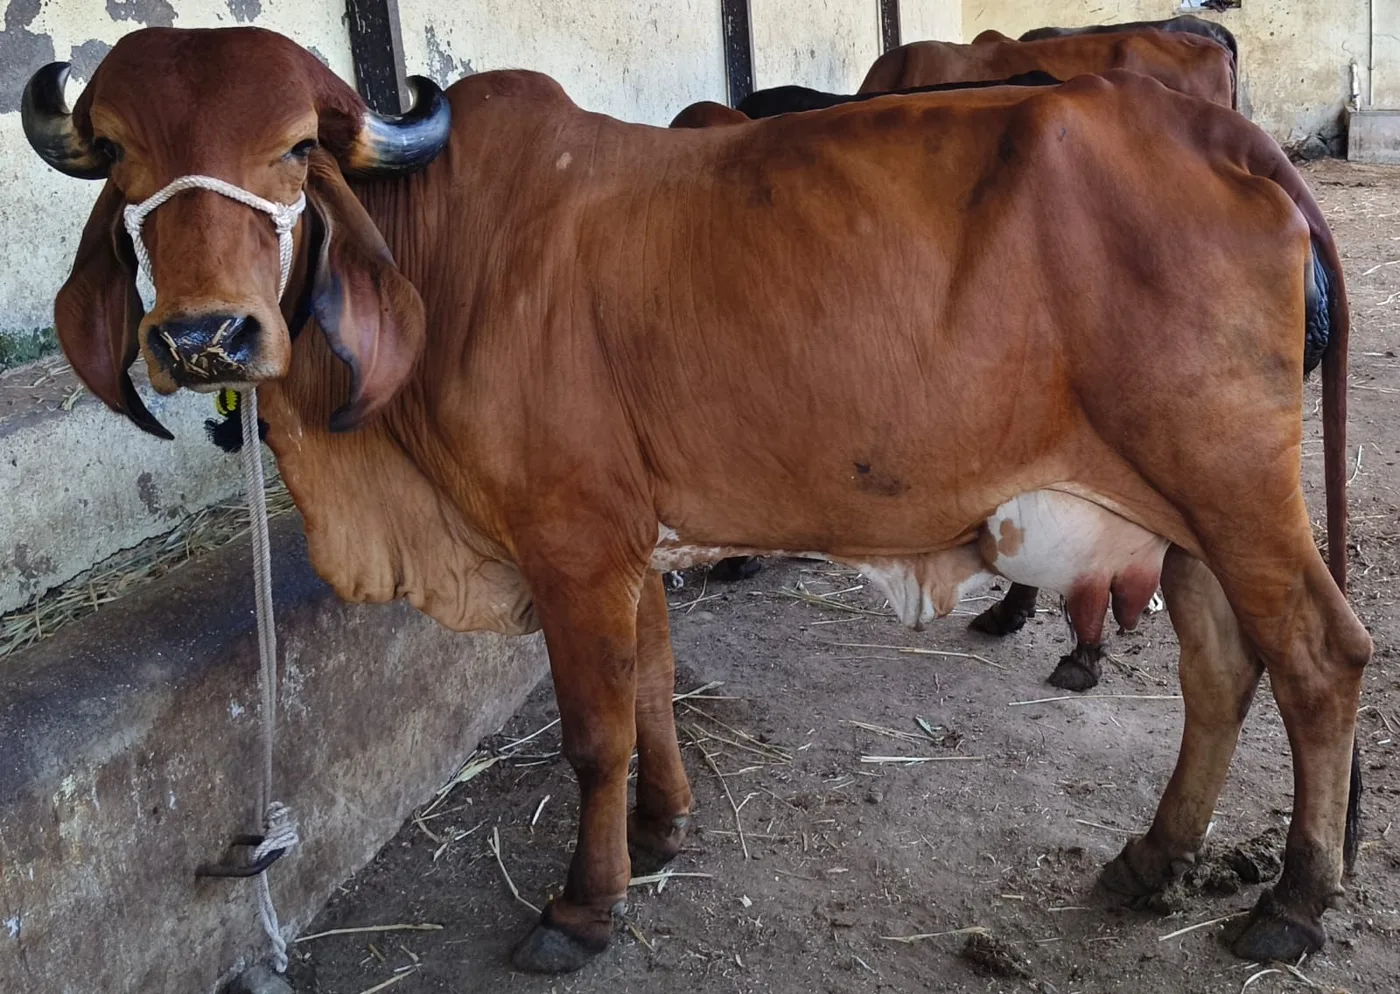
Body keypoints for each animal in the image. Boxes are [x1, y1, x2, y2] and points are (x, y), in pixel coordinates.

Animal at [25, 26, 1365, 976]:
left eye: (297, 146)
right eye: (124, 153)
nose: (203, 336)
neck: (448, 246)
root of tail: (1231, 143)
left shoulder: (567, 541)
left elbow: (593, 730)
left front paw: (583, 904)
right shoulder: (626, 536)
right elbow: (654, 685)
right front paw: (662, 826)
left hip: (1227, 483)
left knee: (1316, 657)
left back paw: (1293, 899)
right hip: (1181, 511)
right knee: (1216, 666)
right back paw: (1152, 856)